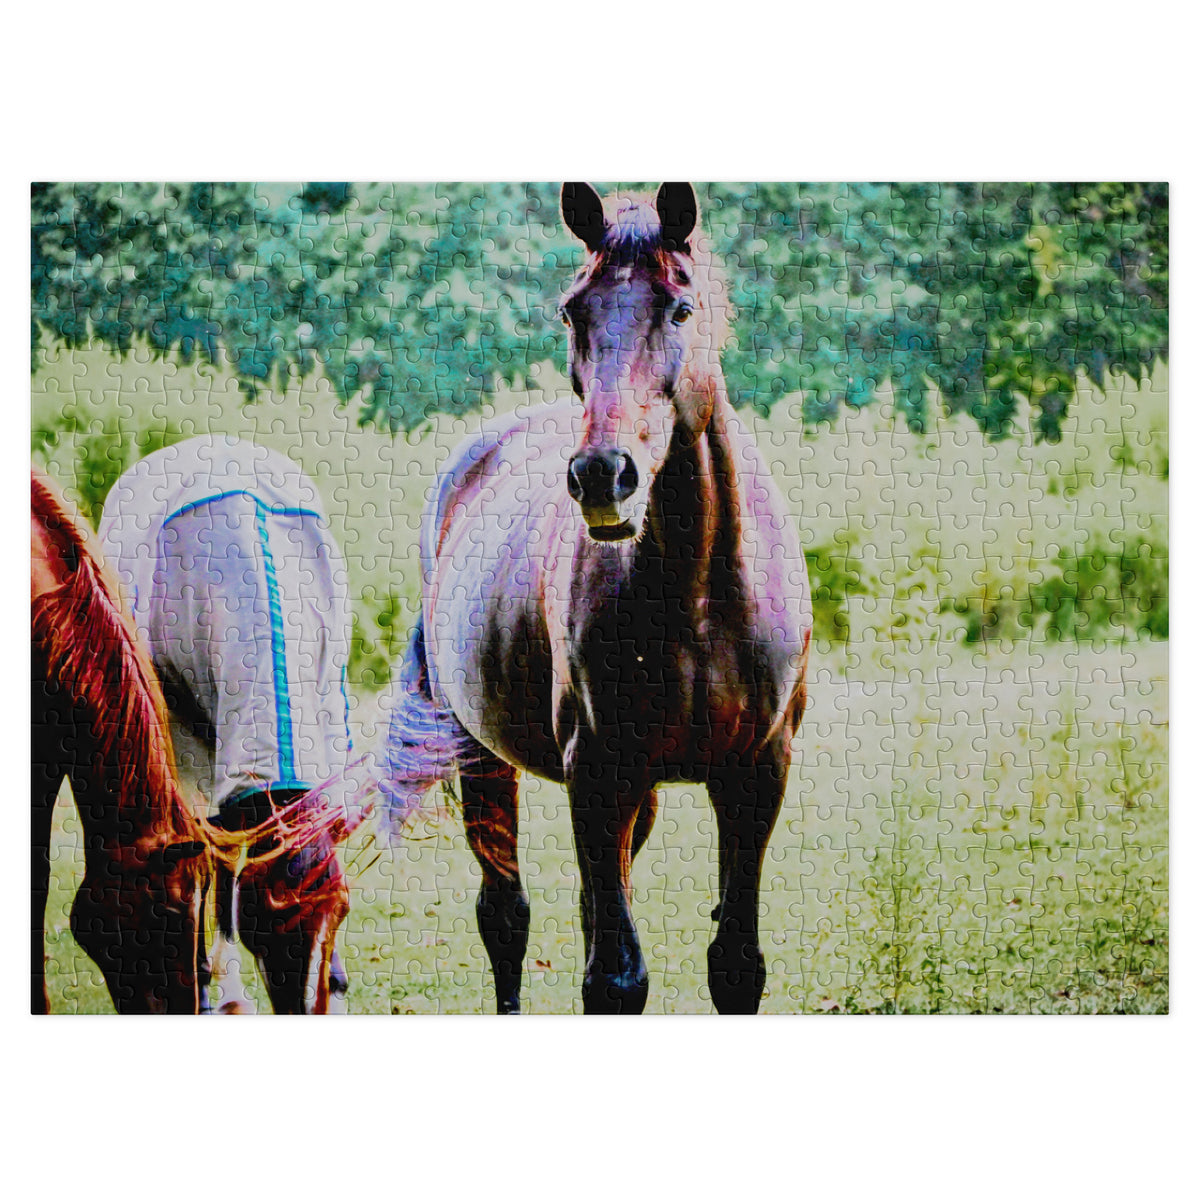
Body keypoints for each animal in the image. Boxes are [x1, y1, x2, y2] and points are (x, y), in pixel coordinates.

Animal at [99, 436, 358, 1014]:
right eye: (265, 925)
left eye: (340, 910)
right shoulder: (188, 738)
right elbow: (210, 849)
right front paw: (219, 986)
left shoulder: (327, 708)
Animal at [382, 182, 812, 1014]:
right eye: (572, 310)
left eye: (680, 307)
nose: (602, 476)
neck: (698, 593)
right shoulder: (598, 773)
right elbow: (613, 976)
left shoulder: (756, 774)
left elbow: (734, 965)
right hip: (483, 755)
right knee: (505, 916)